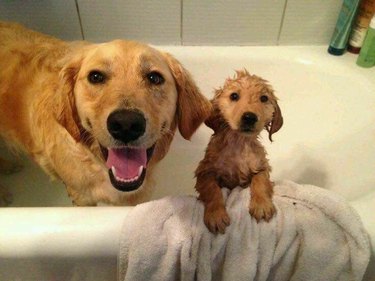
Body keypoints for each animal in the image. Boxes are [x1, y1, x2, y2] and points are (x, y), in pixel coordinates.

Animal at [195, 69, 284, 232]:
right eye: (234, 96)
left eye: (264, 98)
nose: (249, 117)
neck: (239, 143)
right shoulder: (205, 171)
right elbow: (212, 189)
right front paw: (216, 214)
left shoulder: (261, 166)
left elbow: (260, 181)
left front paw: (261, 205)